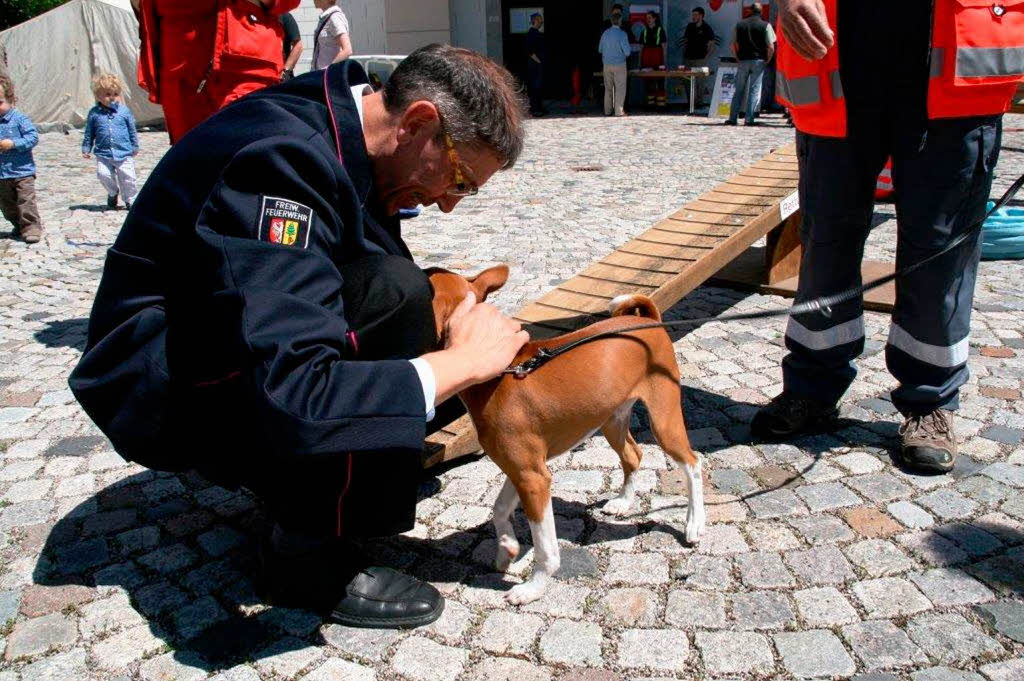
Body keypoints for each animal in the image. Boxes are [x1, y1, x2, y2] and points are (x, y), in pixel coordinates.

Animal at [425, 262, 704, 602]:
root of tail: (647, 320)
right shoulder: (523, 469)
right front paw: (507, 551)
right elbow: (500, 508)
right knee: (633, 455)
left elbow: (546, 548)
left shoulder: (533, 478)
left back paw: (694, 523)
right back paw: (624, 502)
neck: (499, 373)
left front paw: (533, 586)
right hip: (611, 420)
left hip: (663, 420)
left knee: (693, 463)